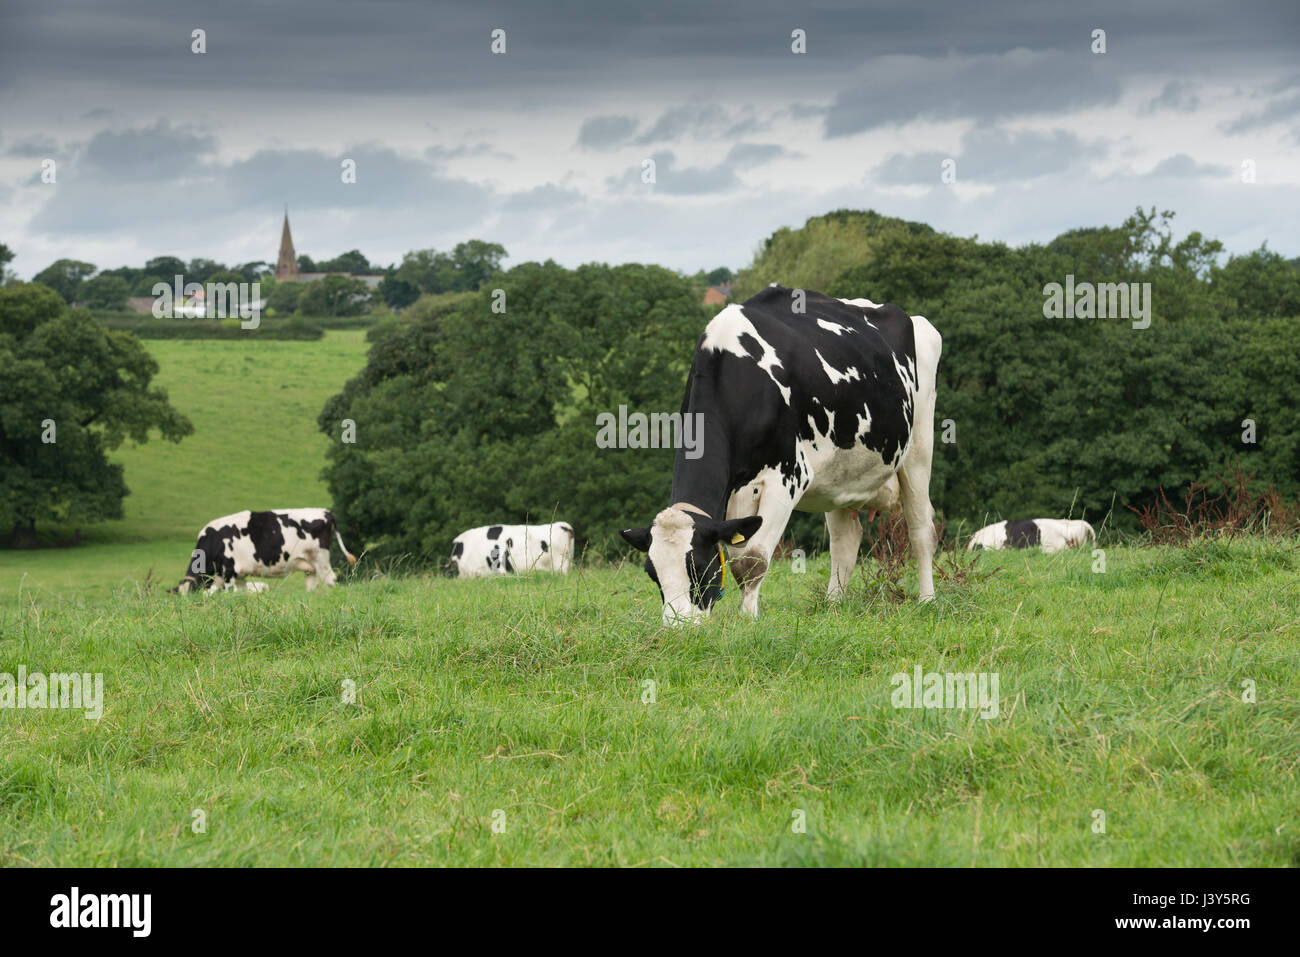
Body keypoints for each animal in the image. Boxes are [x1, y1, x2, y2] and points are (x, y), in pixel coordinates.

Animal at [170, 508, 357, 594]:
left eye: (193, 592)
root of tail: (325, 512)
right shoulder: (239, 576)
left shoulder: (229, 571)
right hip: (309, 565)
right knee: (312, 583)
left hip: (321, 558)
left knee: (330, 579)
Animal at [620, 285, 941, 625]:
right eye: (652, 573)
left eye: (701, 567)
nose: (678, 627)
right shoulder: (737, 491)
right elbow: (738, 558)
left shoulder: (787, 477)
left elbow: (753, 560)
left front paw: (748, 621)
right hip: (839, 473)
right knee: (845, 539)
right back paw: (833, 605)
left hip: (919, 446)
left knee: (921, 528)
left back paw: (927, 600)